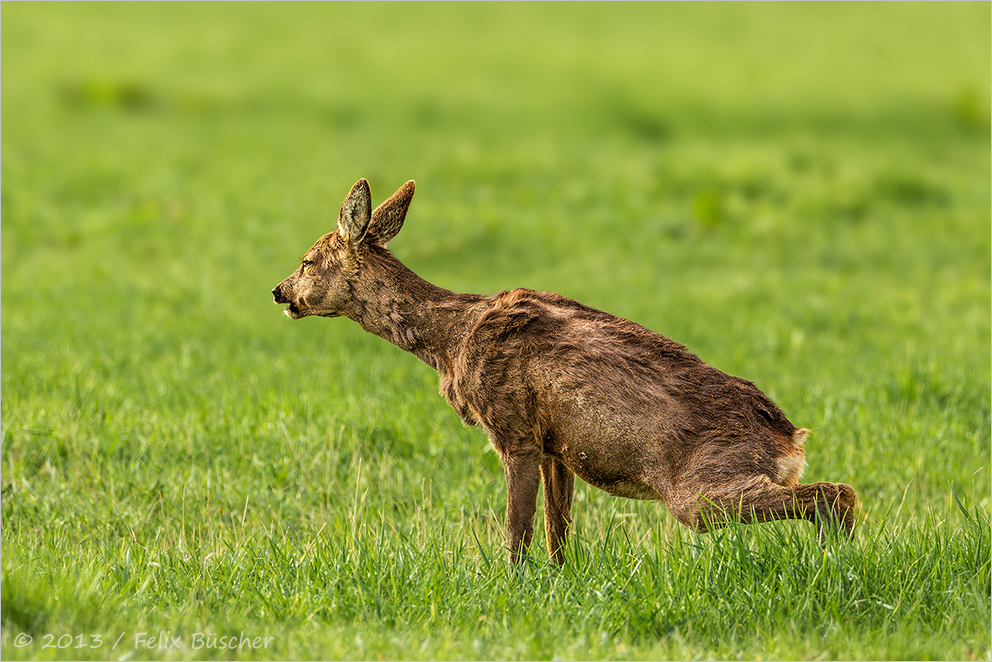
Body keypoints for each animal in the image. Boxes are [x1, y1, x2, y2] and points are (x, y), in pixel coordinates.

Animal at [274, 178, 860, 564]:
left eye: (307, 260)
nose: (280, 291)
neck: (451, 341)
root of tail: (790, 439)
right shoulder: (558, 445)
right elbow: (560, 531)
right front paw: (558, 579)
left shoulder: (512, 428)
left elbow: (518, 529)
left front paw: (509, 581)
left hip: (697, 492)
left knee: (836, 493)